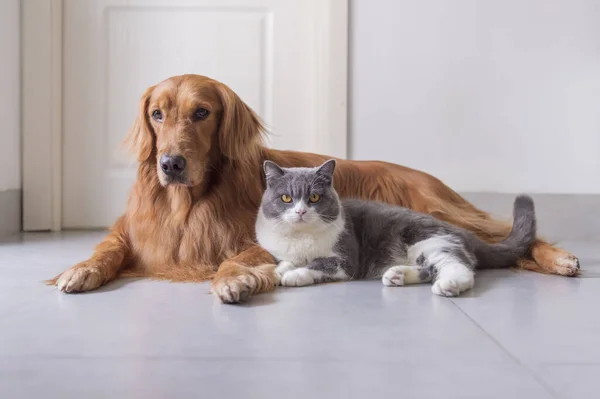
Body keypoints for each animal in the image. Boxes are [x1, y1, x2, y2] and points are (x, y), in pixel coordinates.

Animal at [255, 159, 536, 296]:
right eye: (286, 198)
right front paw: (281, 269)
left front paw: (294, 275)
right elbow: (286, 261)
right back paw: (397, 275)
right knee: (430, 268)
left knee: (459, 266)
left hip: (429, 240)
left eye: (313, 197)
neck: (300, 237)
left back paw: (448, 285)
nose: (300, 211)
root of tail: (462, 230)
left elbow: (318, 264)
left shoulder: (345, 259)